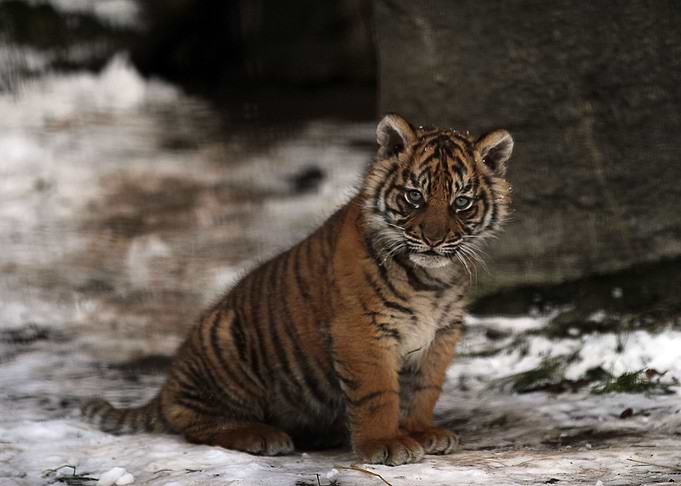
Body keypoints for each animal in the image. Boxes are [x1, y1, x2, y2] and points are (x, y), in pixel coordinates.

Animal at [81, 114, 513, 466]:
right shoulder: (362, 333)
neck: (431, 280)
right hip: (224, 340)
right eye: (414, 196)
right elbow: (377, 395)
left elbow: (425, 389)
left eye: (461, 202)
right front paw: (385, 443)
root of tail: (167, 383)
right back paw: (260, 435)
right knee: (192, 419)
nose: (433, 240)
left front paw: (422, 431)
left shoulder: (442, 333)